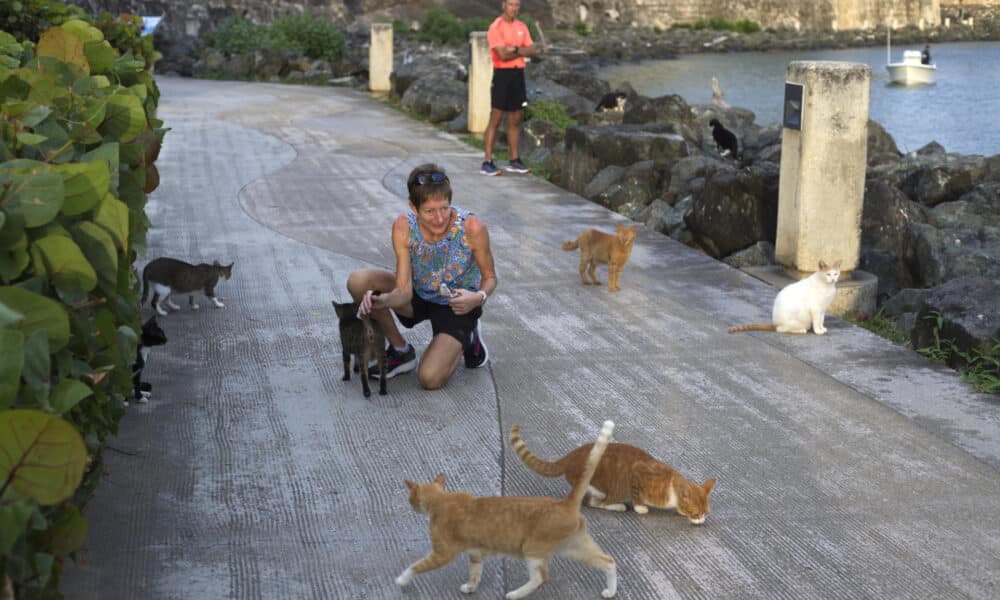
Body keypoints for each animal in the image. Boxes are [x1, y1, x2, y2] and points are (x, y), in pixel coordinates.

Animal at [396, 420, 616, 596]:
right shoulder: (475, 554)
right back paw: (611, 591)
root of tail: (566, 502)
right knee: (608, 561)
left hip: (533, 550)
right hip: (573, 548)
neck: (442, 499)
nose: (411, 506)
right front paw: (470, 587)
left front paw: (401, 579)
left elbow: (416, 567)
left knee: (541, 578)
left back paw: (515, 594)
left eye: (410, 498)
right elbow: (475, 574)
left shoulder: (442, 553)